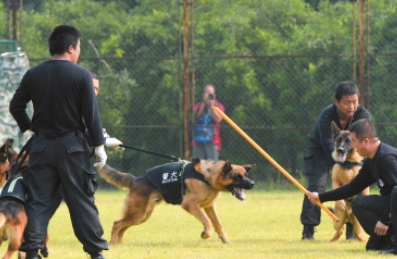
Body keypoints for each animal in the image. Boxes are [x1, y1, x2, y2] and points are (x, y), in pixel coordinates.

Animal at [97, 158, 255, 246]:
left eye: (245, 175)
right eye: (237, 176)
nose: (252, 183)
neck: (207, 177)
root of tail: (135, 180)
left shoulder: (209, 207)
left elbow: (218, 224)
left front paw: (225, 240)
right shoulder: (190, 204)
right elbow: (207, 221)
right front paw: (206, 234)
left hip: (141, 216)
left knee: (123, 226)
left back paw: (119, 243)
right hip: (138, 214)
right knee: (117, 223)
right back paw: (113, 242)